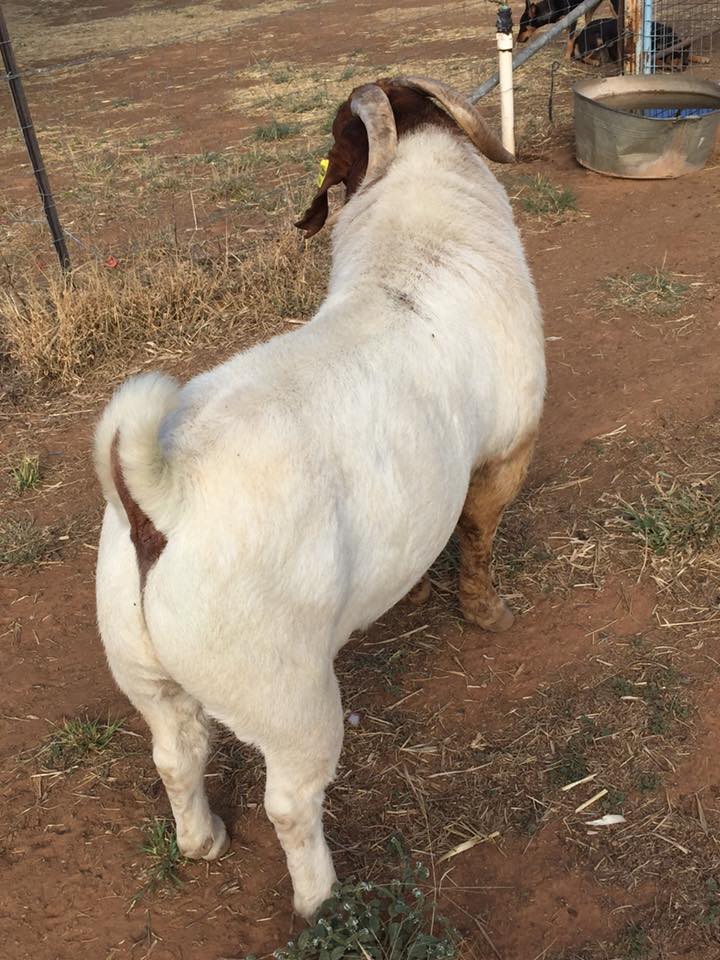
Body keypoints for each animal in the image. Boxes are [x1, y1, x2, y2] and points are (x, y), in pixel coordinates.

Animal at [94, 76, 545, 919]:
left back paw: (204, 840)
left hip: (146, 673)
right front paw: (487, 613)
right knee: (289, 804)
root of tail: (160, 497)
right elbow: (477, 538)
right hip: (291, 702)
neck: (415, 241)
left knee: (176, 755)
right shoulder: (506, 451)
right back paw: (322, 900)